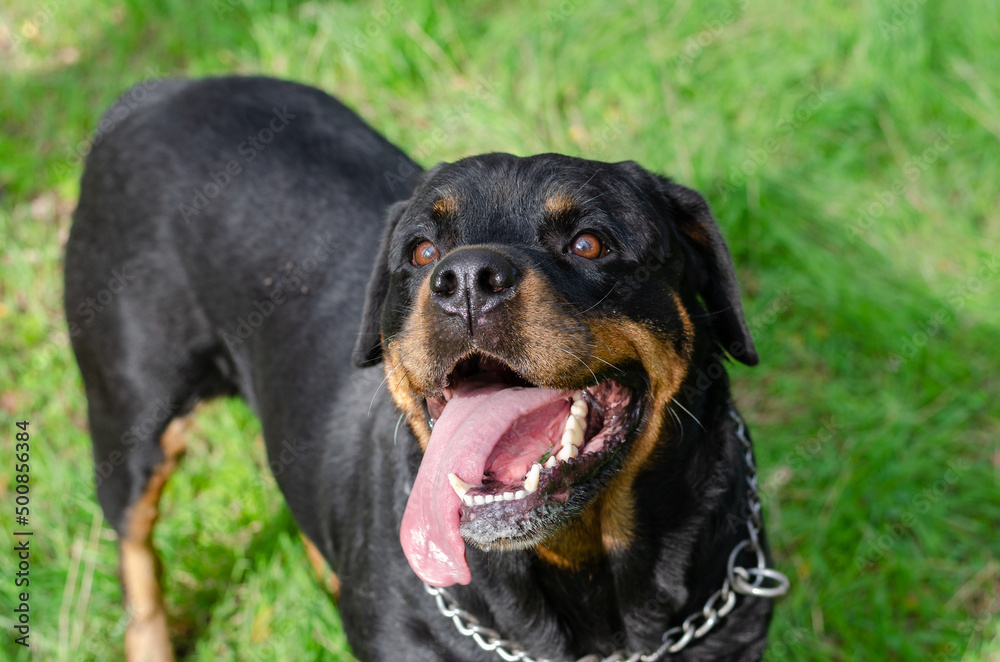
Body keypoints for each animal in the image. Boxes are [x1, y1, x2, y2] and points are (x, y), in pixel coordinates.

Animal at [68, 76, 788, 660]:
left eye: (590, 243)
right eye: (420, 251)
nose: (466, 278)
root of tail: (155, 91)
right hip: (131, 415)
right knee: (136, 550)